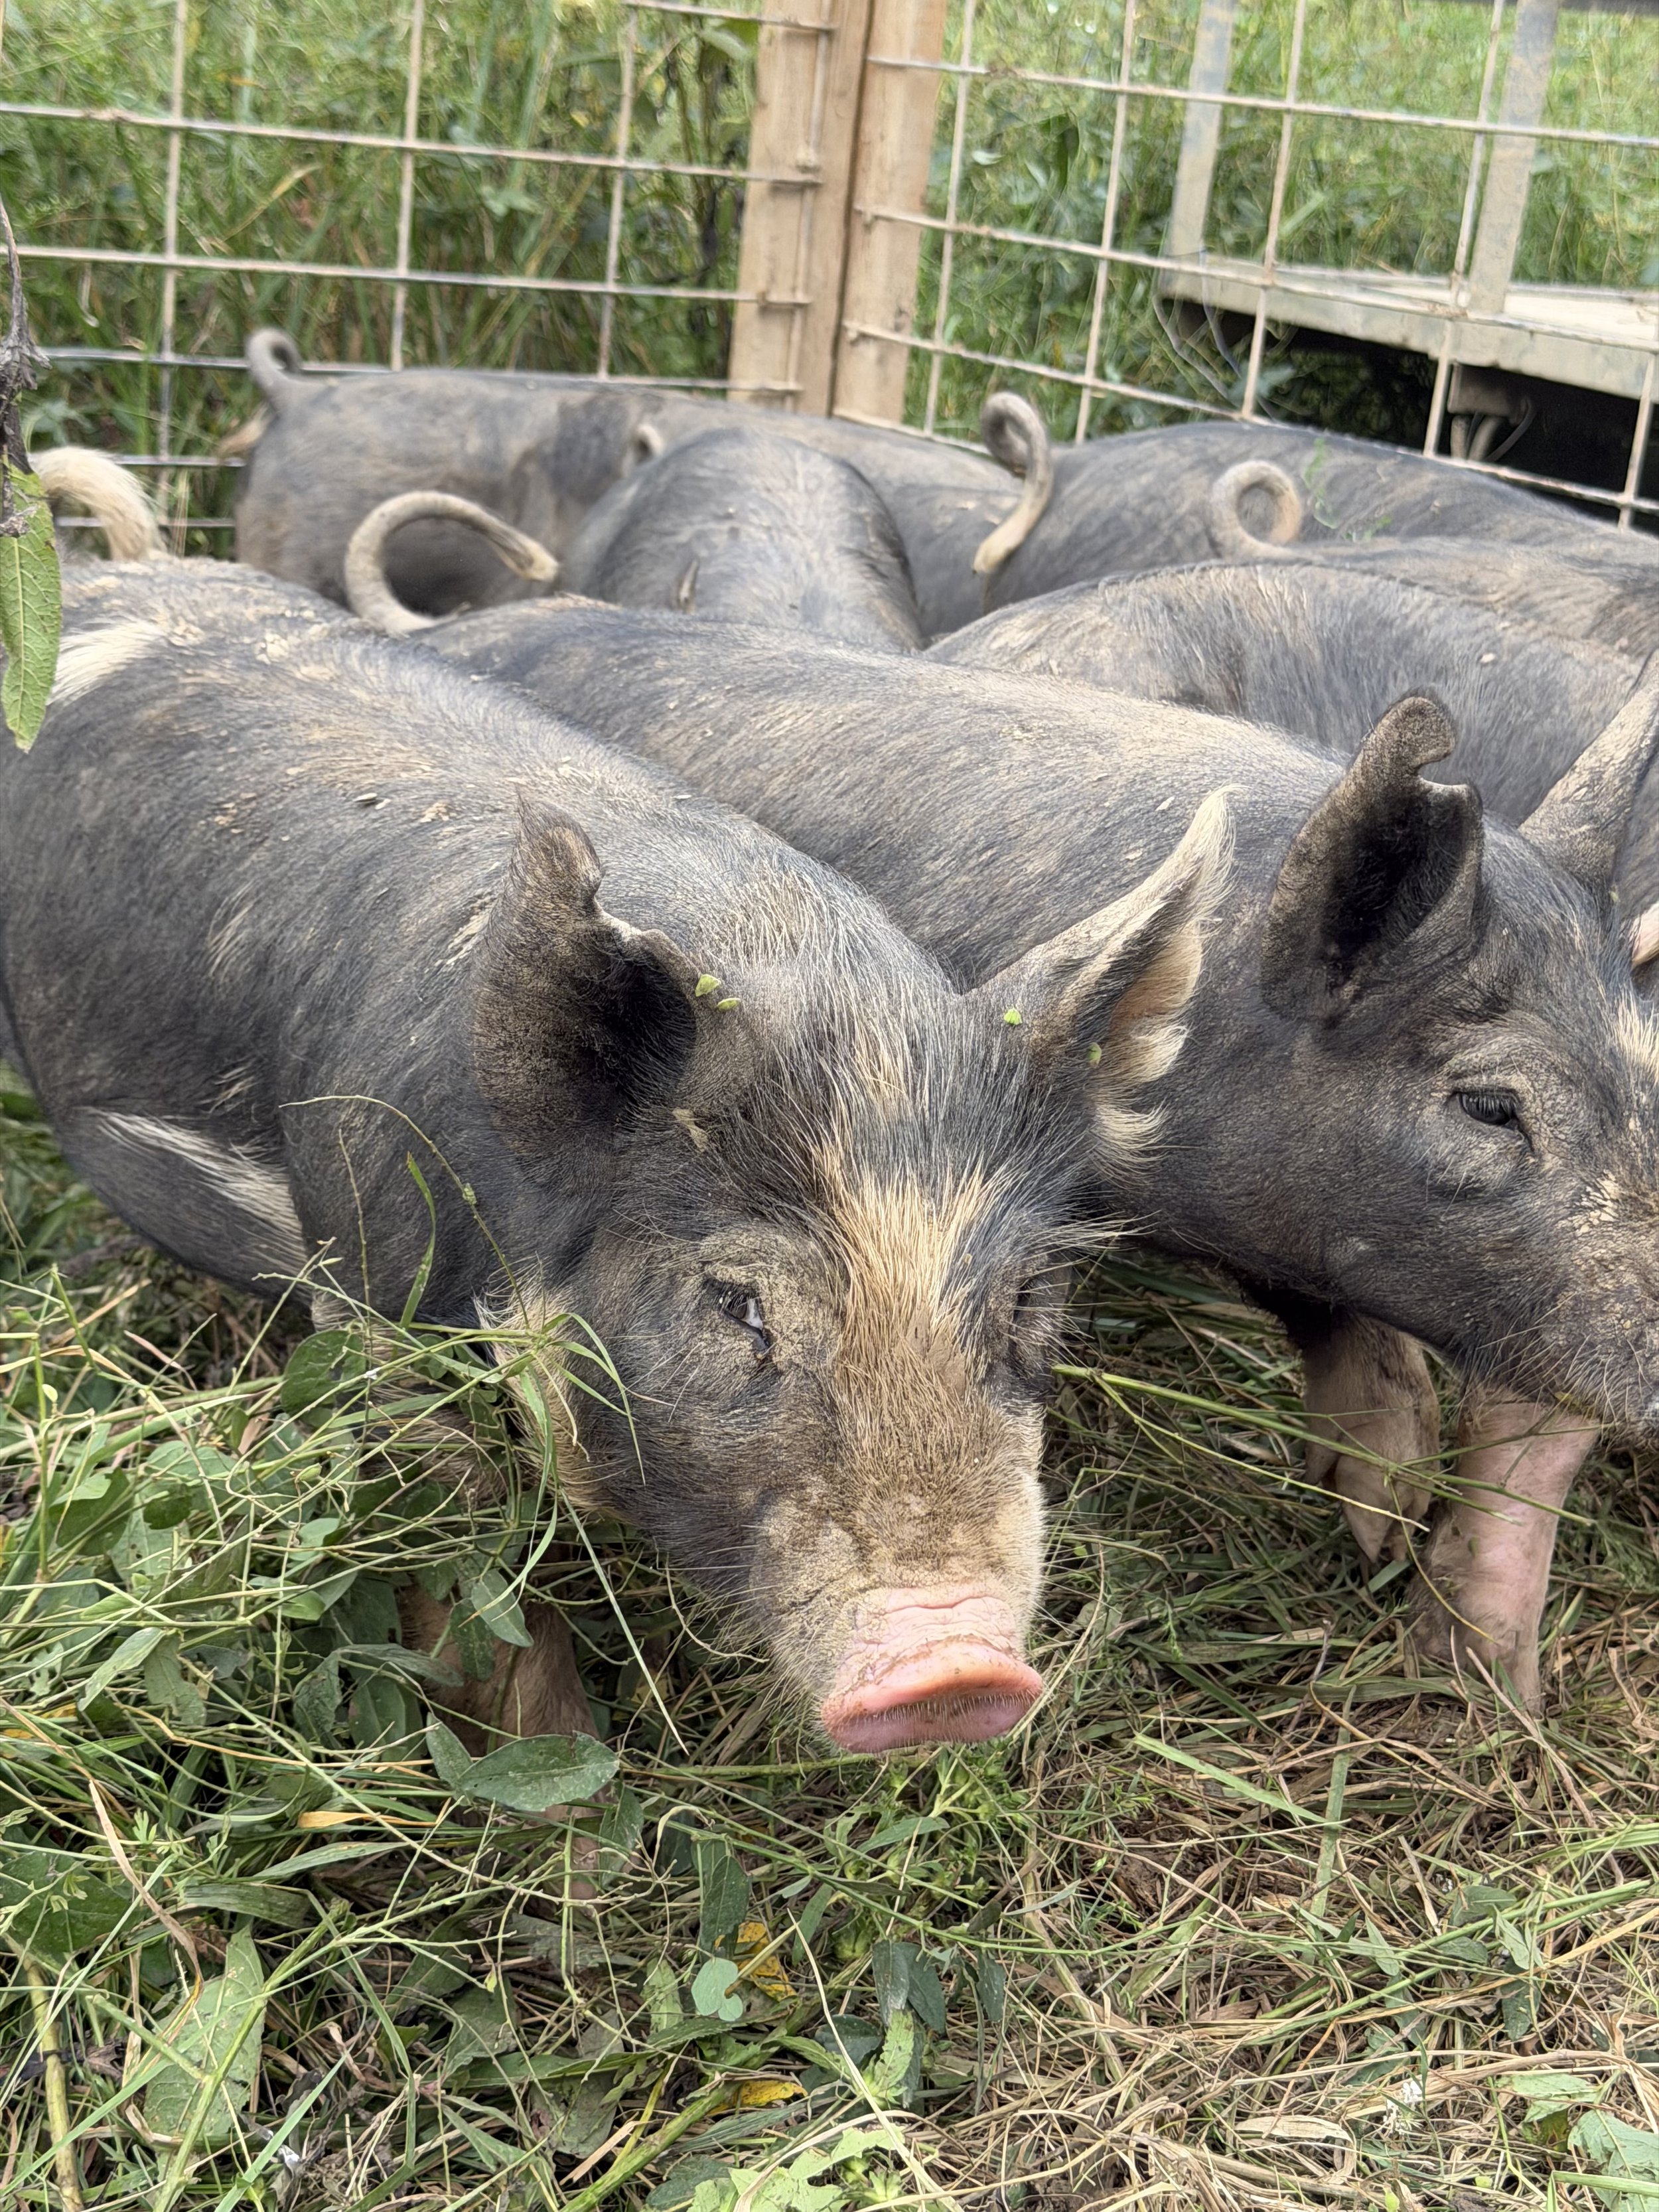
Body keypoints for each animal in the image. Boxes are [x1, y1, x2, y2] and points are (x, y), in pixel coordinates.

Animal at [0, 546, 1229, 1755]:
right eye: (735, 1300)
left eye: (1024, 1296)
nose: (957, 1666)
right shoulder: (365, 1280)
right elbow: (471, 1563)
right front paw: (569, 1798)